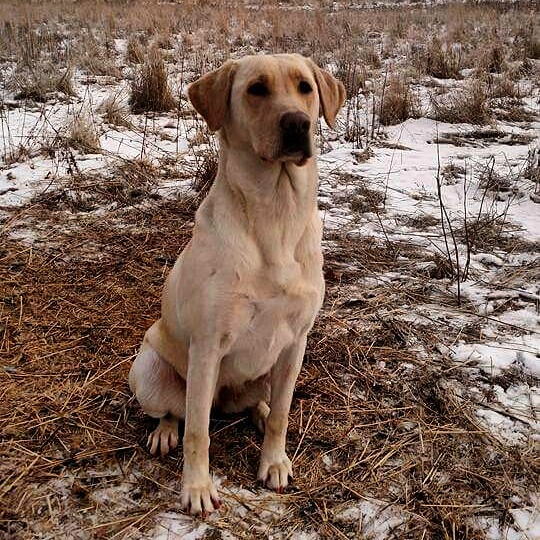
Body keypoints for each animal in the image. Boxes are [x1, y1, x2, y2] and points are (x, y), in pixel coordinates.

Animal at [129, 53, 344, 516]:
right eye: (256, 89)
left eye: (305, 87)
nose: (297, 123)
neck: (275, 215)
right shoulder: (209, 344)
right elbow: (197, 432)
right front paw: (195, 488)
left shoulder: (297, 340)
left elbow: (282, 414)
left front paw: (274, 461)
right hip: (149, 374)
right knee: (177, 413)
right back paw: (164, 431)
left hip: (269, 369)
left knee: (264, 401)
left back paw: (258, 410)